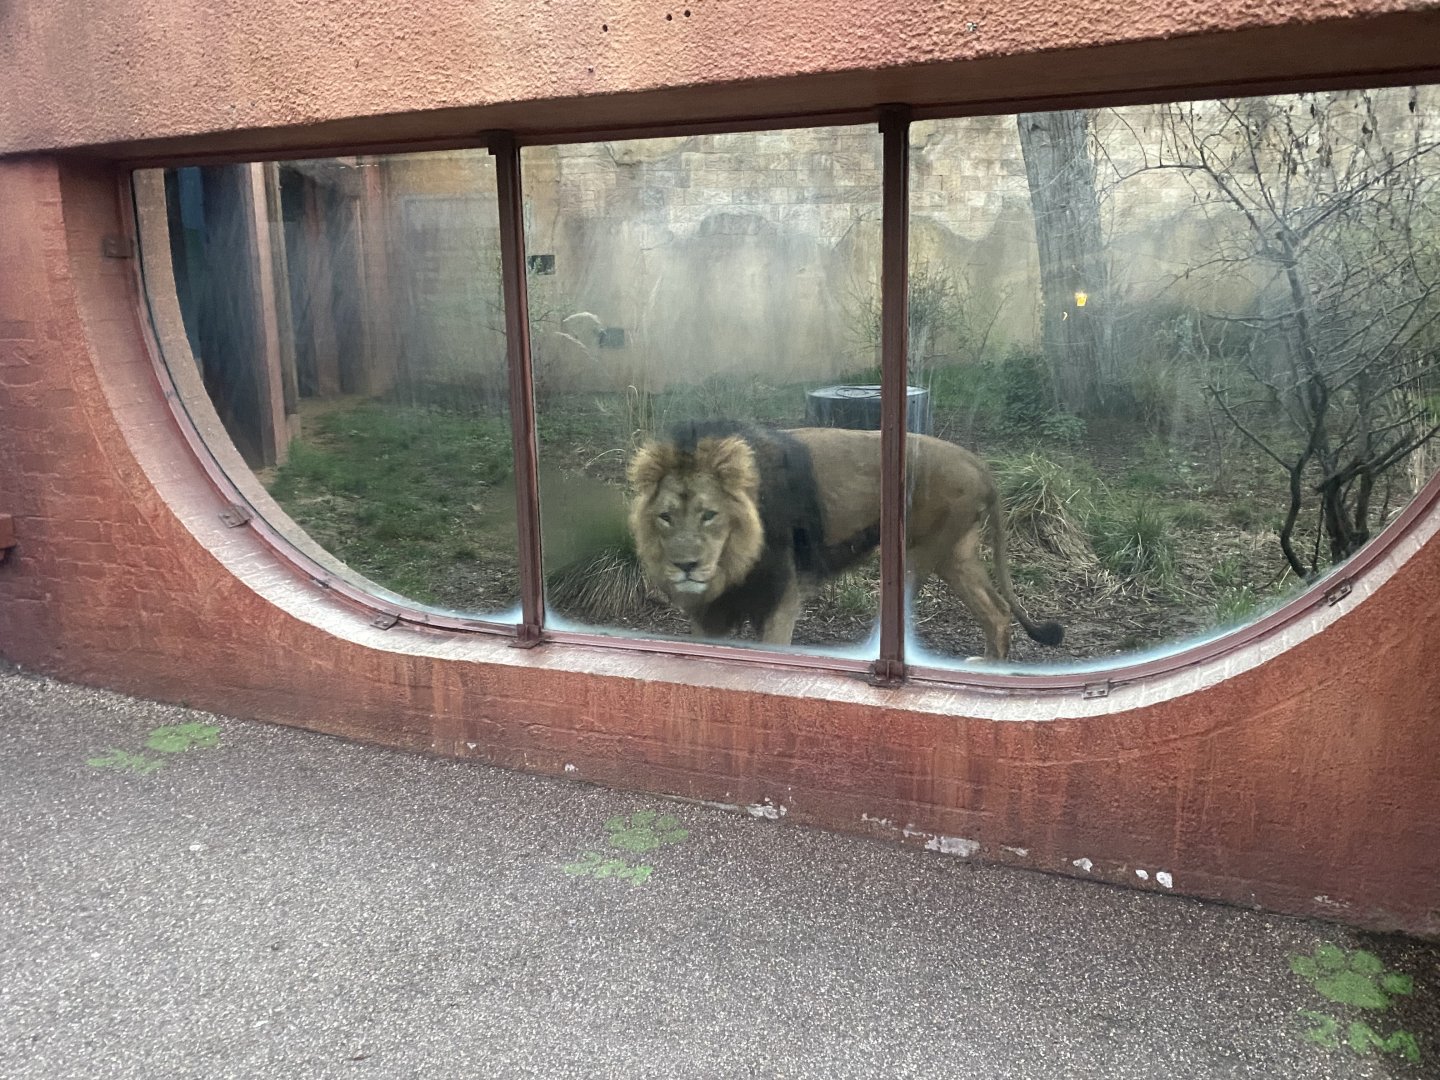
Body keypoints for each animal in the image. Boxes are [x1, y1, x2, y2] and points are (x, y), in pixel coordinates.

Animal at [626, 420, 1063, 660]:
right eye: (665, 517)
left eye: (709, 514)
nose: (685, 566)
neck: (732, 561)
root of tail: (977, 461)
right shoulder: (710, 613)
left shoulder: (782, 600)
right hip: (954, 555)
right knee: (998, 612)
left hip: (920, 554)